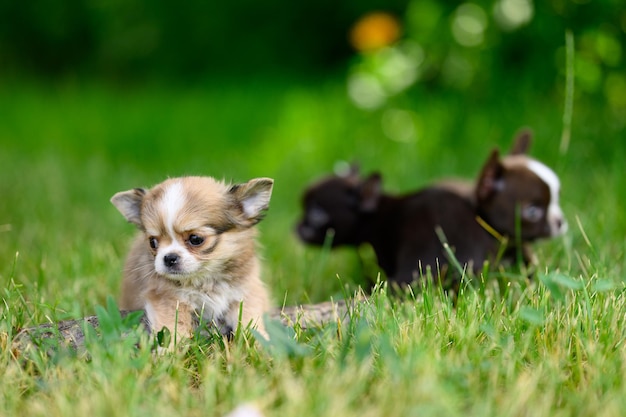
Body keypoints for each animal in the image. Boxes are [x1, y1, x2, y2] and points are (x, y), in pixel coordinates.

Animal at [111, 176, 272, 342]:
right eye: (153, 242)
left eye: (195, 239)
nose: (169, 258)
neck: (206, 280)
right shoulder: (167, 298)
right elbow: (174, 327)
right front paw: (172, 347)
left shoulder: (245, 292)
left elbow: (249, 319)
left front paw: (261, 342)